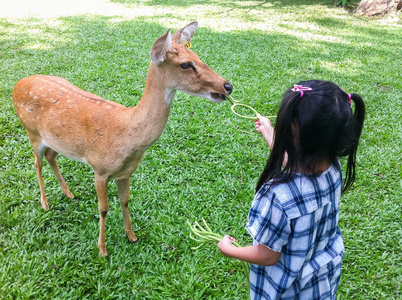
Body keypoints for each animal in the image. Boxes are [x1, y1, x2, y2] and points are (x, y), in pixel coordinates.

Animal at [11, 21, 232, 256]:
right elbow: (104, 208)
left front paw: (131, 236)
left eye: (197, 56)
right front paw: (102, 249)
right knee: (37, 163)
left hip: (56, 140)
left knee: (51, 156)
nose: (227, 86)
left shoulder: (126, 172)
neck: (127, 137)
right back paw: (45, 203)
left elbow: (125, 201)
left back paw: (69, 193)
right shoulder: (99, 169)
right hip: (32, 132)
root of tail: (17, 85)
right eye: (185, 64)